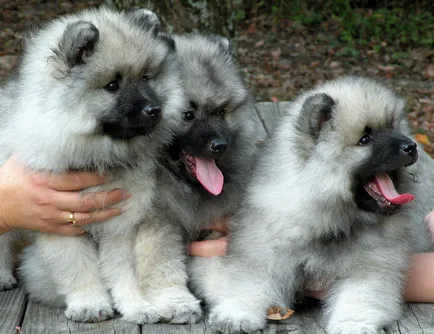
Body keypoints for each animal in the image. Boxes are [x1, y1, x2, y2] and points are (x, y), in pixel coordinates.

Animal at [0, 7, 185, 324]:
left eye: (146, 77)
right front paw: (89, 304)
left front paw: (136, 306)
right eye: (112, 85)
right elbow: (78, 268)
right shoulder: (62, 226)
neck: (98, 155)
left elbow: (124, 271)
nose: (154, 110)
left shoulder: (121, 224)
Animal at [192, 77, 432, 332]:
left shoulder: (370, 268)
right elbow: (246, 284)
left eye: (394, 128)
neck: (330, 220)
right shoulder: (260, 255)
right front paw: (236, 314)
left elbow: (358, 298)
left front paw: (352, 324)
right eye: (365, 139)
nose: (411, 146)